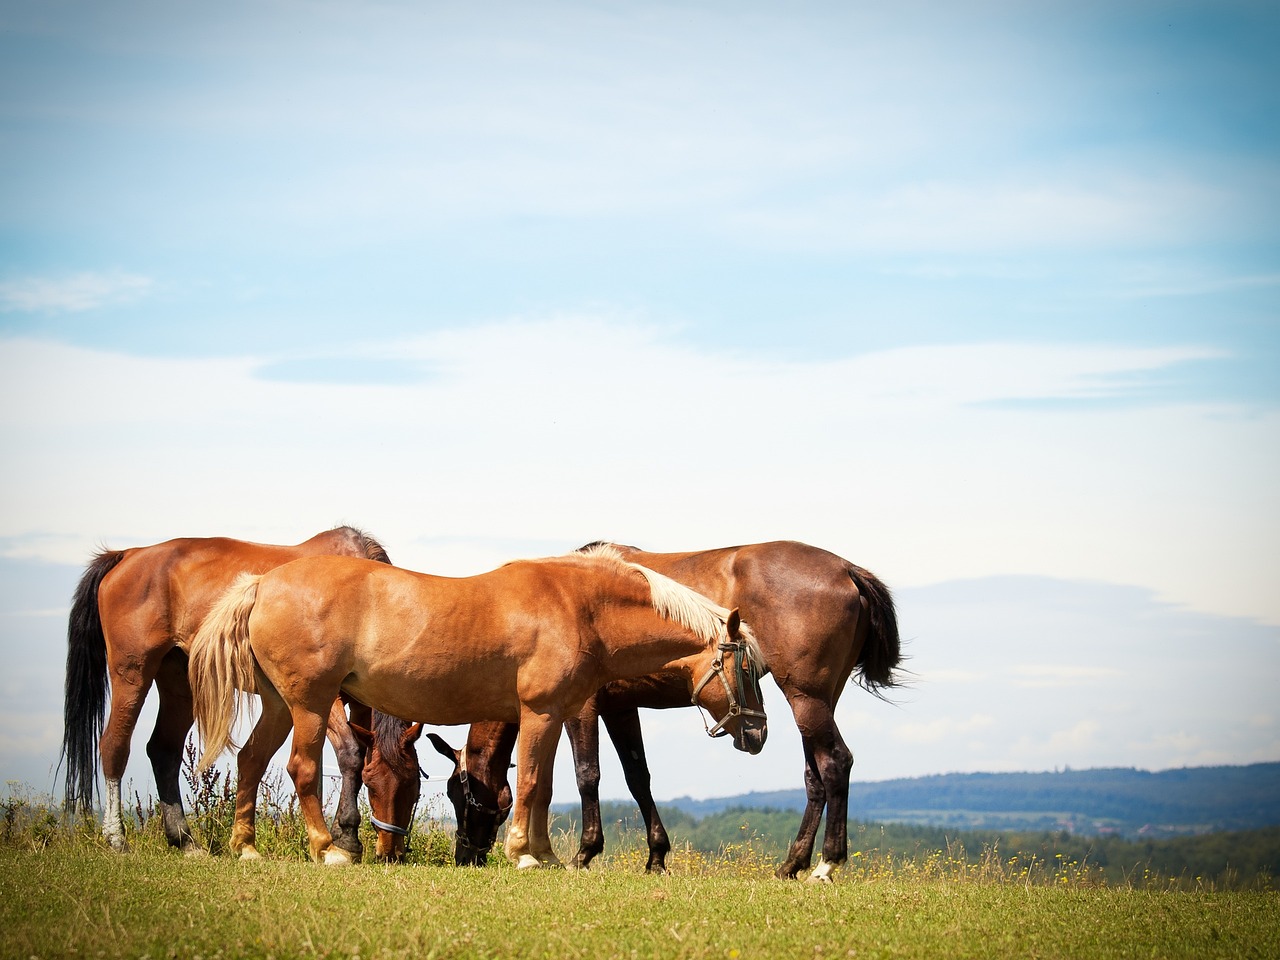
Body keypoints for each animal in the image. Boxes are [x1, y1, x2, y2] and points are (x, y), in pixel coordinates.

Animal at [60, 525, 391, 856]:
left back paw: (184, 840)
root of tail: (128, 554)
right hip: (132, 673)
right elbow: (350, 754)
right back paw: (116, 838)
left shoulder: (360, 703)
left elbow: (351, 756)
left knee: (163, 750)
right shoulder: (320, 696)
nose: (390, 850)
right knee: (114, 746)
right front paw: (345, 835)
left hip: (179, 683)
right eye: (376, 787)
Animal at [187, 545, 768, 868]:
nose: (758, 734)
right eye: (747, 669)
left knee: (250, 760)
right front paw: (523, 854)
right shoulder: (539, 712)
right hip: (309, 704)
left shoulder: (551, 715)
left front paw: (546, 854)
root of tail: (262, 585)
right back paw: (328, 848)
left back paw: (246, 847)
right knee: (301, 768)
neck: (578, 605)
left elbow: (543, 786)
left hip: (279, 705)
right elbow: (532, 782)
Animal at [367, 540, 900, 881]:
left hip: (806, 698)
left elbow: (587, 775)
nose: (466, 856)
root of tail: (847, 570)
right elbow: (637, 776)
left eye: (461, 796)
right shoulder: (622, 708)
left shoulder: (581, 708)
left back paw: (826, 864)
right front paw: (656, 856)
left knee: (835, 763)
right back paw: (792, 863)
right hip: (818, 700)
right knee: (816, 775)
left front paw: (584, 854)